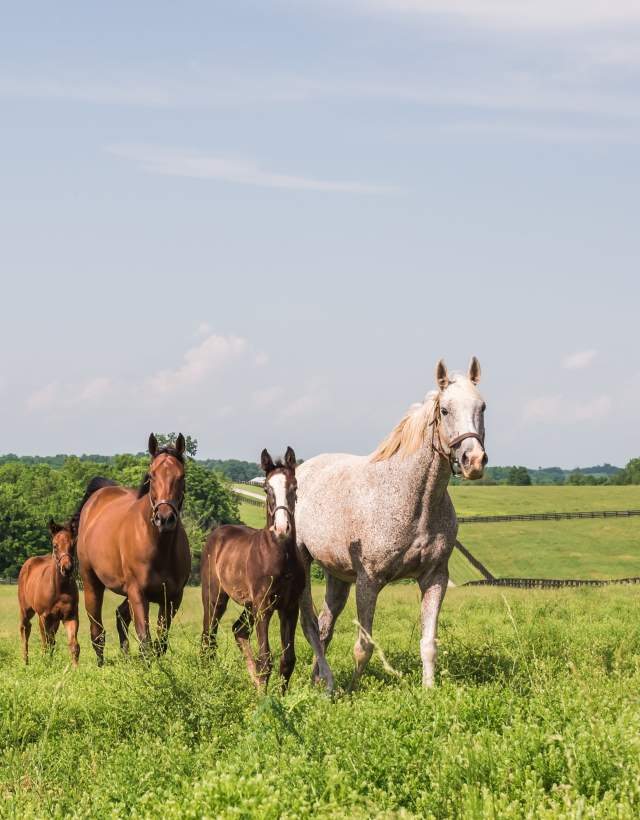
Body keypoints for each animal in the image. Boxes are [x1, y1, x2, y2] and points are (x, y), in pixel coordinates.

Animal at [18, 518, 80, 666]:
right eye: (55, 545)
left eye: (73, 545)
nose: (67, 568)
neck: (60, 589)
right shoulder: (44, 616)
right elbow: (46, 643)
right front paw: (46, 665)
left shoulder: (70, 616)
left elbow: (73, 645)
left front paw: (76, 668)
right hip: (26, 610)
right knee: (25, 629)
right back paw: (25, 662)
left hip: (55, 620)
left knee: (51, 639)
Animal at [75, 434, 191, 664]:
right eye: (152, 476)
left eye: (181, 476)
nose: (164, 519)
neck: (159, 549)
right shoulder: (138, 594)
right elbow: (145, 641)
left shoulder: (172, 599)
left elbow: (160, 642)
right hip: (92, 583)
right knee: (97, 631)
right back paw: (101, 664)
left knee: (120, 616)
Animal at [201, 447, 304, 692]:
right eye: (266, 488)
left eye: (294, 486)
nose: (282, 528)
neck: (281, 556)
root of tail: (216, 535)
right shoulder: (264, 606)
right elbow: (265, 658)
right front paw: (265, 698)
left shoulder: (290, 606)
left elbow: (288, 659)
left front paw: (278, 696)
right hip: (215, 598)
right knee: (208, 639)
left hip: (249, 605)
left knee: (238, 630)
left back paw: (254, 683)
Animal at [295, 357, 487, 691]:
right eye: (445, 410)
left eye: (482, 407)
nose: (473, 461)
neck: (415, 501)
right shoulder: (369, 581)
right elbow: (364, 646)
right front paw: (352, 691)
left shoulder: (435, 577)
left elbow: (429, 643)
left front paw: (429, 690)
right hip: (304, 565)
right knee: (310, 627)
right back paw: (328, 685)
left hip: (337, 577)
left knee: (324, 626)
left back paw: (318, 679)